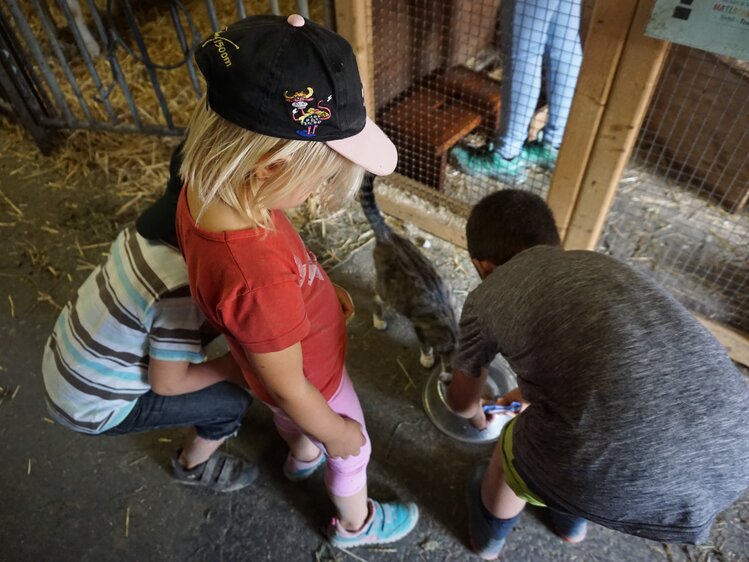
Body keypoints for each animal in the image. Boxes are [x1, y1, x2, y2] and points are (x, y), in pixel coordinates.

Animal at [356, 174, 456, 368]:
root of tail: (388, 235)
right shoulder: (421, 328)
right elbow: (425, 345)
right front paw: (427, 359)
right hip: (387, 290)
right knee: (376, 298)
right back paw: (379, 320)